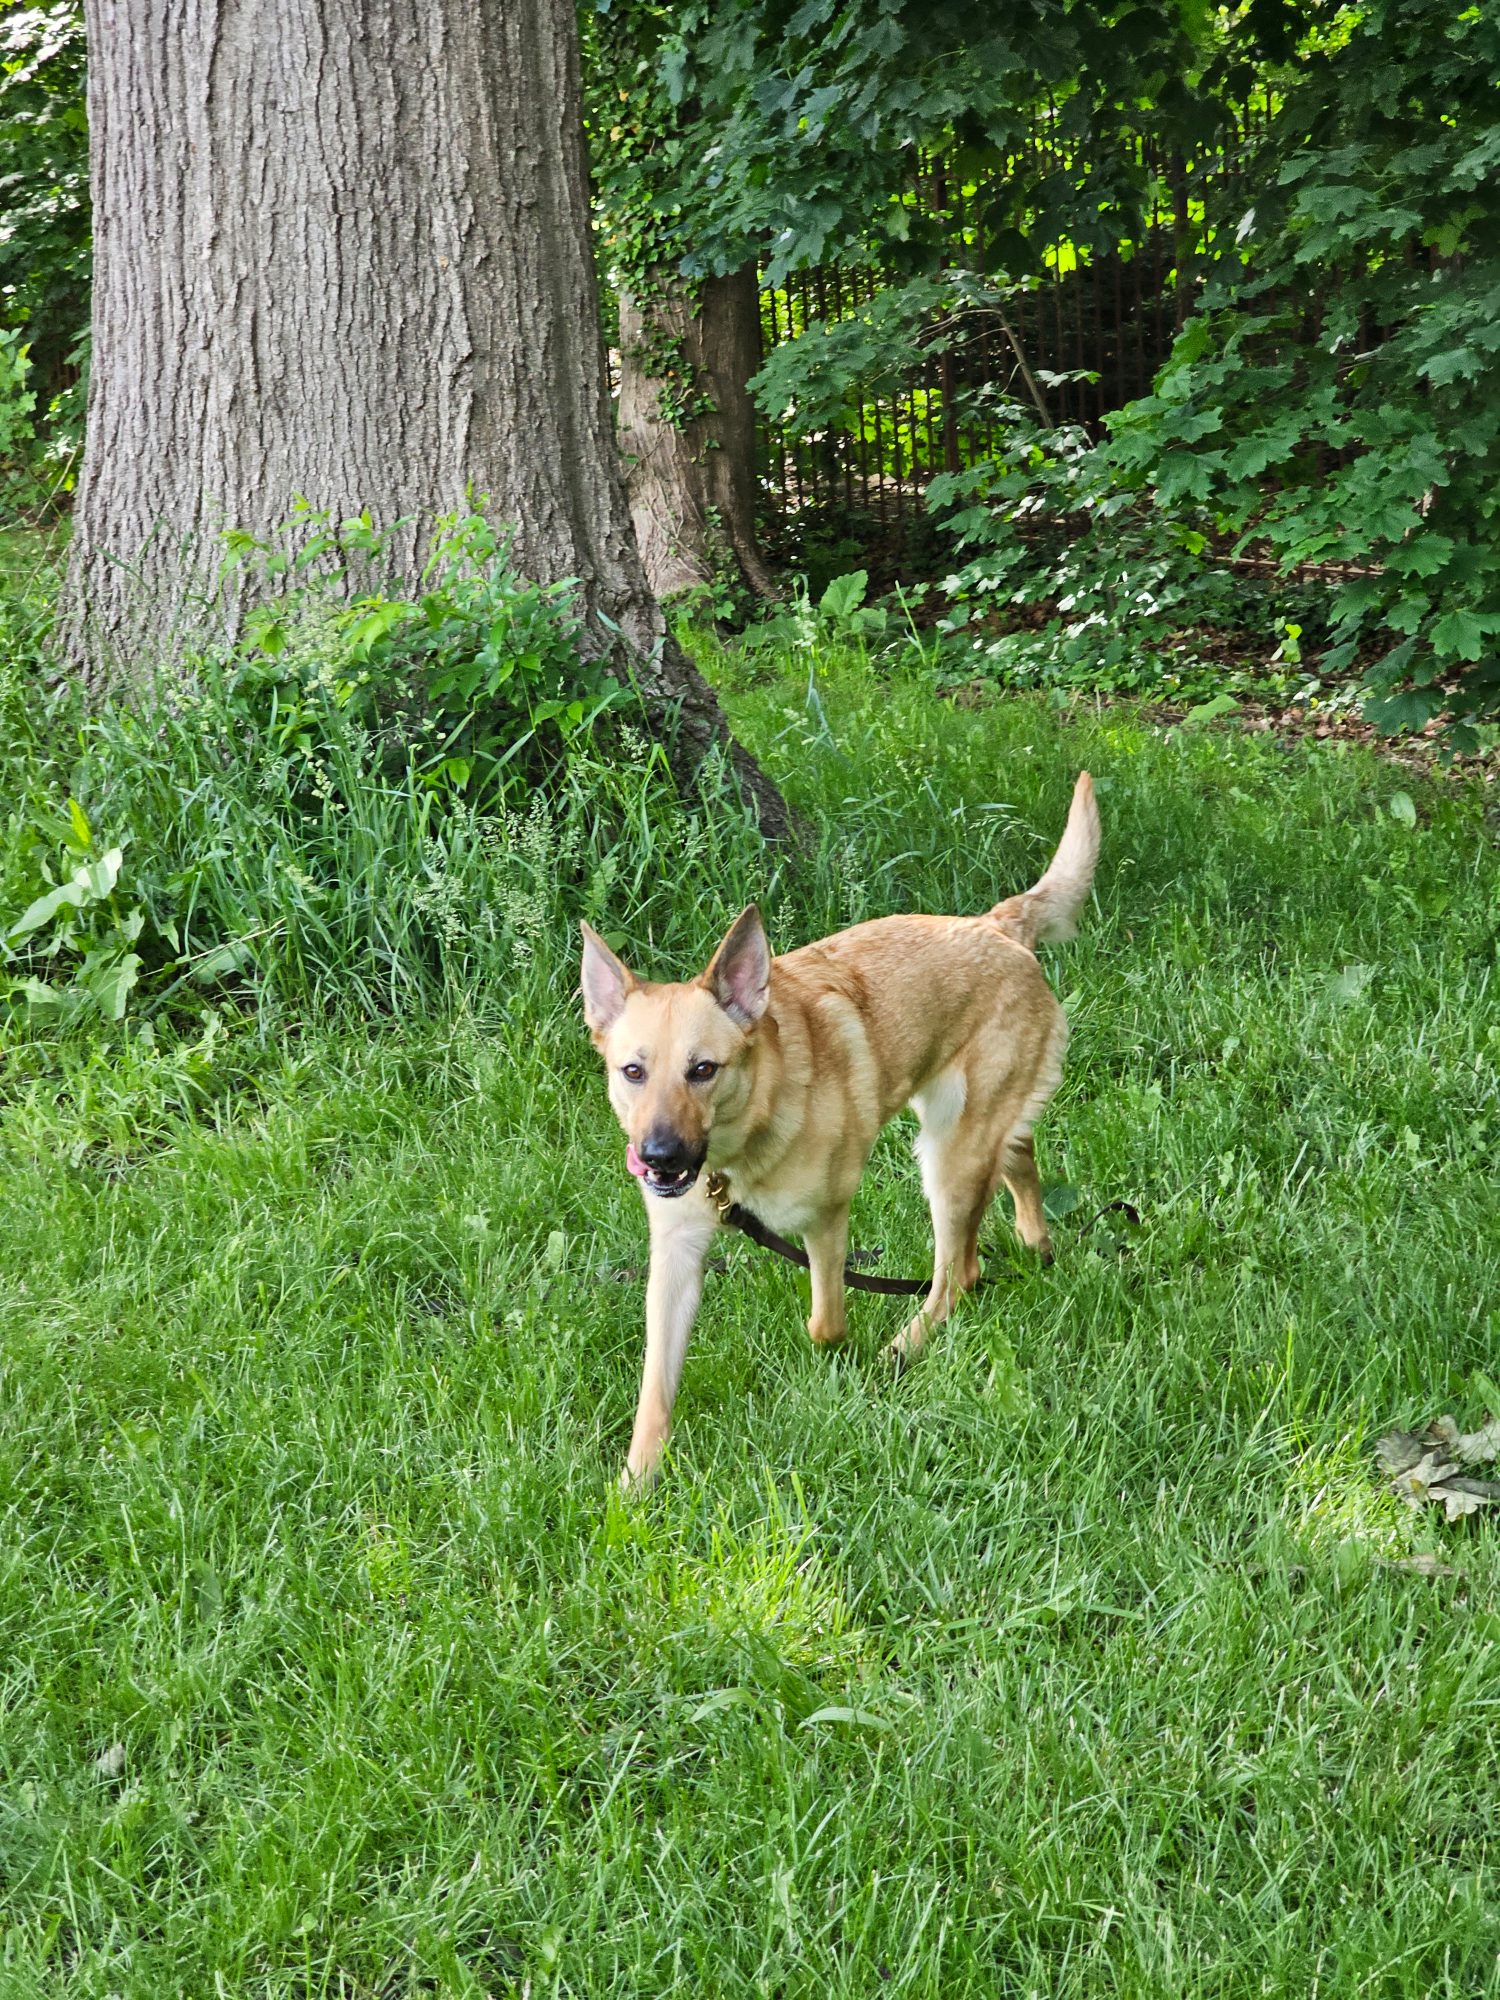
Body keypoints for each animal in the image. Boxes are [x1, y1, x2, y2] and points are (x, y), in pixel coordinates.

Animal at [581, 772, 1100, 1487]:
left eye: (703, 1069)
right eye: (632, 1071)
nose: (657, 1157)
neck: (742, 1145)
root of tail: (995, 925)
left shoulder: (826, 1220)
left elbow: (824, 1322)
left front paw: (839, 1359)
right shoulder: (677, 1254)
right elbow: (655, 1388)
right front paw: (637, 1482)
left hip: (946, 1159)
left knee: (958, 1272)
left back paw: (902, 1349)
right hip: (971, 1131)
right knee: (1019, 1161)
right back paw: (1034, 1243)